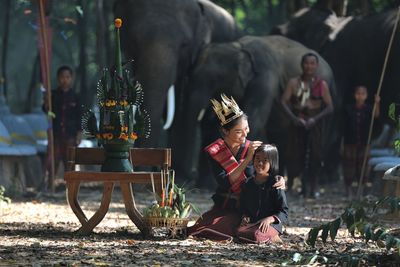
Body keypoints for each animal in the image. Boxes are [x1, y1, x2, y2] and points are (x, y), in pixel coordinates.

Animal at [183, 35, 340, 186]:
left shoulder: (265, 79)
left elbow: (254, 119)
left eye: (215, 79)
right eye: (190, 76)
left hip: (328, 93)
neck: (237, 47)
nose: (190, 179)